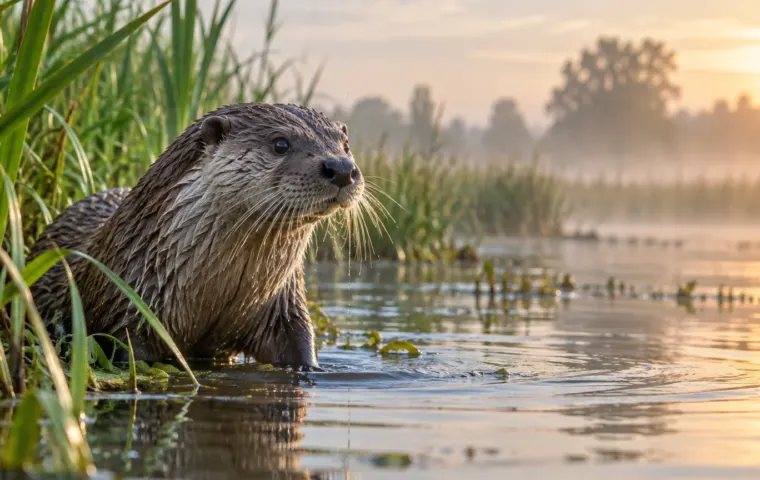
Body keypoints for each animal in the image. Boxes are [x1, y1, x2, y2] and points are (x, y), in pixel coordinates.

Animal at [27, 103, 364, 371]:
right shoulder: (126, 313)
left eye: (345, 144)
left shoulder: (284, 309)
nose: (341, 168)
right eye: (280, 143)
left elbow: (299, 345)